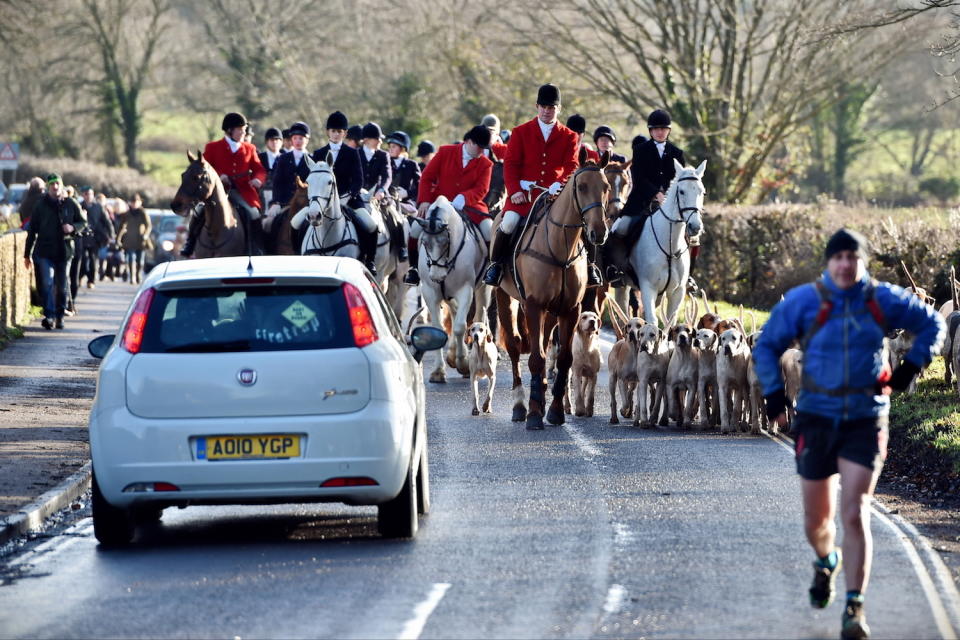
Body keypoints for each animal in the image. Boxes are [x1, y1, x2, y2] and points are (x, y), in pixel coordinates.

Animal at [412, 195, 492, 382]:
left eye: (445, 242)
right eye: (424, 242)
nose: (436, 275)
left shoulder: (465, 291)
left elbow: (460, 327)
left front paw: (463, 363)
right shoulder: (430, 292)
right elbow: (438, 329)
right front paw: (438, 371)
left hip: (483, 288)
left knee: (478, 315)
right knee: (454, 312)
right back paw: (453, 353)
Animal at [496, 162, 608, 430]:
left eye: (606, 187)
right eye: (581, 186)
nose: (599, 232)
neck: (560, 248)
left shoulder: (570, 309)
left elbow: (564, 359)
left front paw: (555, 411)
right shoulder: (533, 305)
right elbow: (536, 359)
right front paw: (534, 414)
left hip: (550, 314)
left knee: (546, 346)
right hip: (505, 299)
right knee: (515, 347)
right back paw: (520, 405)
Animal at [632, 161, 704, 324]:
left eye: (702, 192)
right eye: (681, 191)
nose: (695, 227)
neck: (670, 246)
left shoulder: (677, 292)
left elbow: (670, 323)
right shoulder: (647, 287)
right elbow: (652, 321)